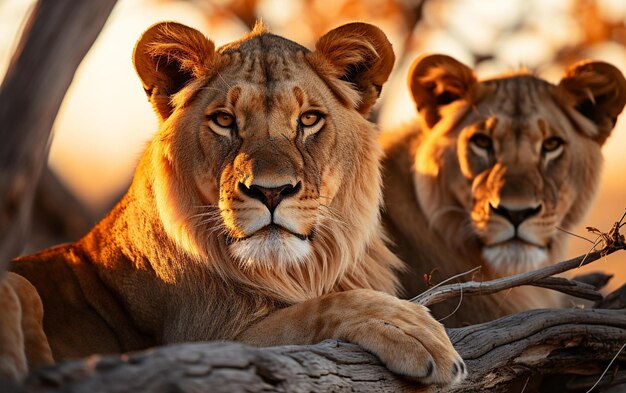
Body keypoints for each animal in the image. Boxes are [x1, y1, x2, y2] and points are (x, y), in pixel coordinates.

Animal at [1, 23, 464, 382]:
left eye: (309, 119)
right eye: (224, 120)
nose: (271, 191)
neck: (295, 271)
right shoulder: (201, 342)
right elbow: (312, 311)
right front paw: (409, 328)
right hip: (18, 286)